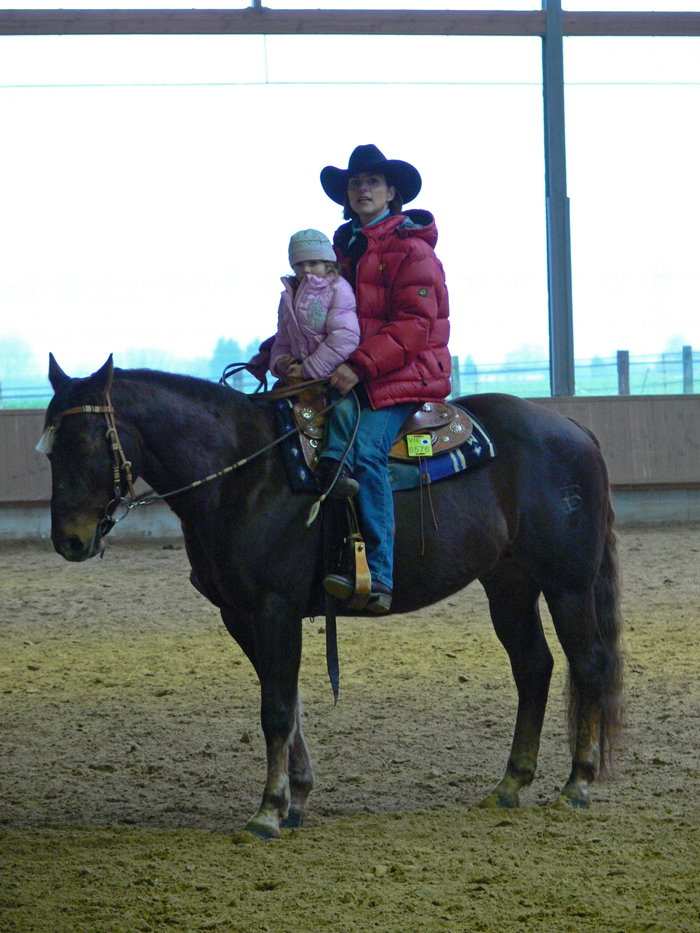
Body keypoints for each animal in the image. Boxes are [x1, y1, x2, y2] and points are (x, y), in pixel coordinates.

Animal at [42, 353, 623, 839]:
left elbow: (276, 709)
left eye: (88, 441)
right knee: (534, 667)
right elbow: (287, 701)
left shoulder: (275, 607)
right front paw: (296, 798)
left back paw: (577, 785)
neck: (246, 472)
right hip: (509, 584)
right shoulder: (239, 614)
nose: (69, 540)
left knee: (588, 664)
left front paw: (268, 811)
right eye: (49, 449)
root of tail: (578, 432)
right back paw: (509, 785)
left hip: (568, 584)